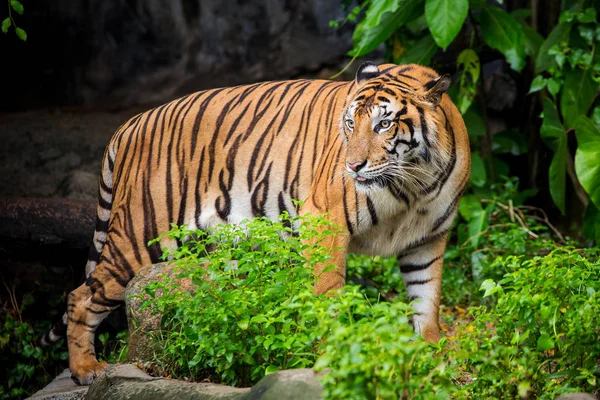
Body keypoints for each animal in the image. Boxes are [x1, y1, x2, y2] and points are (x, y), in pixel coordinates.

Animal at [42, 61, 472, 384]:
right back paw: (87, 370)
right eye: (350, 124)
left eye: (384, 124)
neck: (414, 181)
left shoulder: (428, 239)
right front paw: (334, 356)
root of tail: (129, 124)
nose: (352, 166)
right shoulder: (324, 221)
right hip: (141, 234)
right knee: (80, 296)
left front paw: (431, 357)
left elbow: (426, 300)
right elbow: (328, 297)